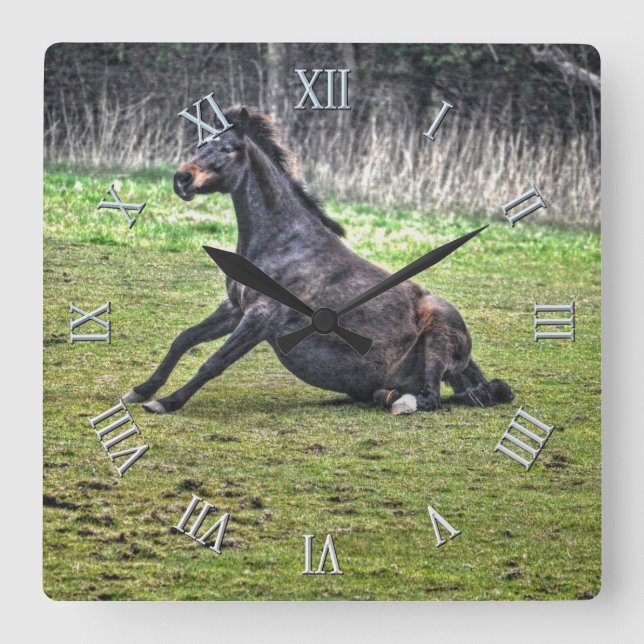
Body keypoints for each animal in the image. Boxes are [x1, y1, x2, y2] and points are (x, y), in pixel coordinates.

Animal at [123, 106, 513, 415]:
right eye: (201, 145)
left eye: (229, 149)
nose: (182, 178)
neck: (286, 245)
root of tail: (466, 354)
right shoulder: (234, 308)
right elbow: (183, 339)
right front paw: (141, 390)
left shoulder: (261, 317)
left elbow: (214, 361)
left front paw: (166, 402)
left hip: (438, 335)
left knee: (434, 397)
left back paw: (401, 402)